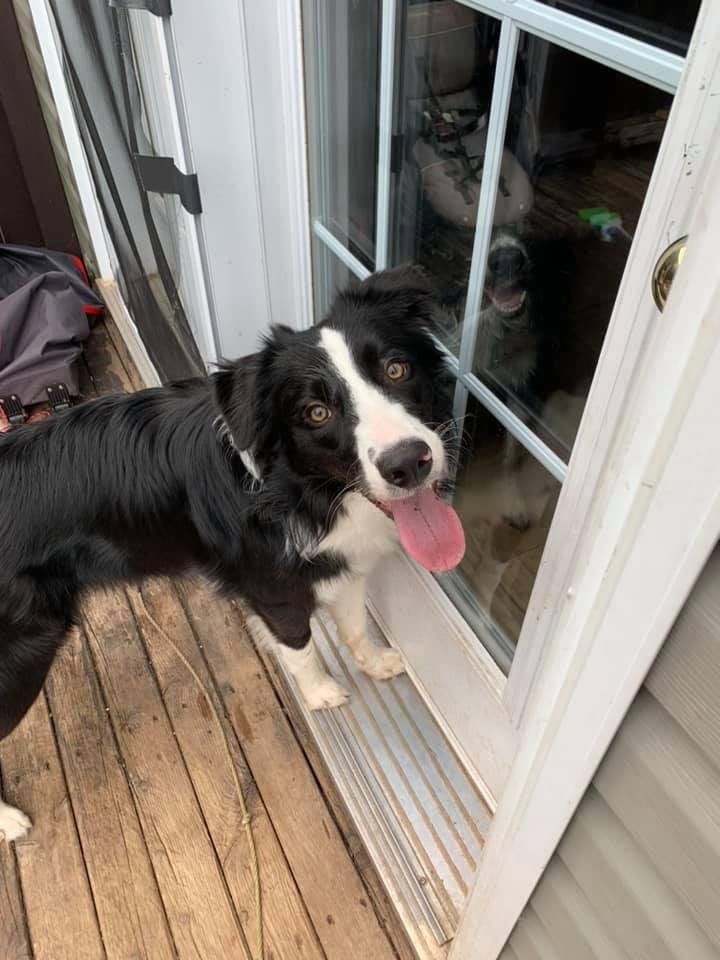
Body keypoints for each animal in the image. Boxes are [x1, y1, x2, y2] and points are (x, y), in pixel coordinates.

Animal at [0, 266, 465, 841]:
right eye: (316, 412)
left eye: (397, 369)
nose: (408, 464)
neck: (298, 489)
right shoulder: (274, 587)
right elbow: (301, 645)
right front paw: (321, 694)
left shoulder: (339, 564)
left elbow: (355, 624)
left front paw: (376, 662)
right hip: (24, 648)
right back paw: (7, 821)